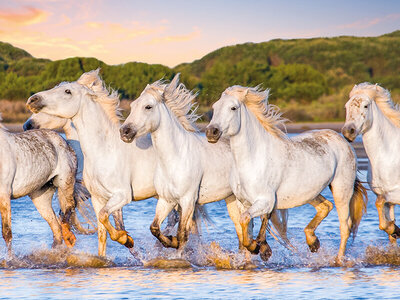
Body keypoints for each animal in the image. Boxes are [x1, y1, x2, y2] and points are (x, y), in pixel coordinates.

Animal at [0, 116, 86, 254]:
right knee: (56, 228)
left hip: (65, 184)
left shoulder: (4, 195)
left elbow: (7, 232)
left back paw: (69, 238)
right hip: (40, 197)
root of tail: (65, 142)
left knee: (68, 209)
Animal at [119, 74, 290, 258]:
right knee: (242, 230)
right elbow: (155, 228)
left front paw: (177, 252)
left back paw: (261, 249)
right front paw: (170, 242)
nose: (125, 132)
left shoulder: (188, 199)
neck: (175, 157)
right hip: (232, 200)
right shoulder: (166, 199)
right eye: (132, 105)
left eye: (148, 106)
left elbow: (182, 234)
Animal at [206, 85, 368, 262]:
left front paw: (259, 247)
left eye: (233, 108)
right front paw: (259, 249)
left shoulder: (265, 201)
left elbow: (246, 224)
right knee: (325, 206)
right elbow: (244, 230)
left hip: (341, 190)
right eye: (214, 107)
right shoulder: (243, 203)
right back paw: (313, 242)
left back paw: (338, 259)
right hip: (310, 192)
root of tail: (343, 141)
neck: (252, 159)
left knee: (344, 226)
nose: (211, 132)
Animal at [342, 83, 400, 245]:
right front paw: (394, 229)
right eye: (346, 106)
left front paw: (395, 229)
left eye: (366, 106)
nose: (348, 131)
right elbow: (385, 225)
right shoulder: (385, 197)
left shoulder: (395, 193)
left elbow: (379, 203)